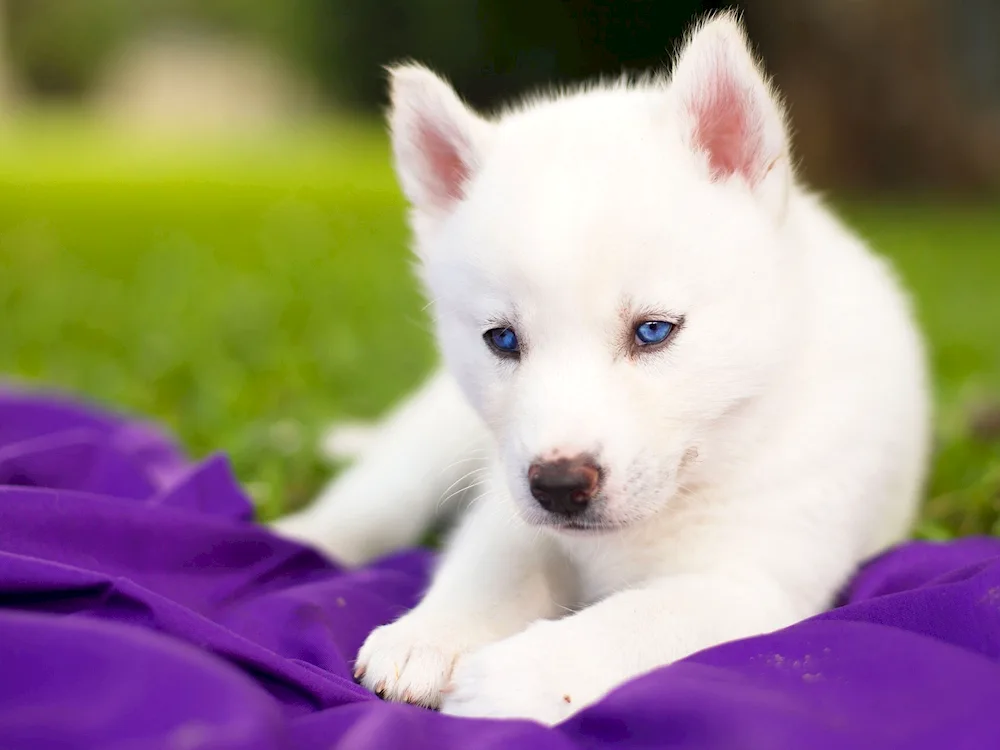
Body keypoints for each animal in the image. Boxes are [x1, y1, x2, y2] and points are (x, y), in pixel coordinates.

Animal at [274, 13, 928, 728]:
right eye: (502, 339)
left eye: (654, 331)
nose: (559, 487)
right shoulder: (509, 497)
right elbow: (492, 561)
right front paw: (434, 634)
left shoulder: (750, 581)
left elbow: (635, 620)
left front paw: (519, 676)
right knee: (376, 501)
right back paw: (302, 536)